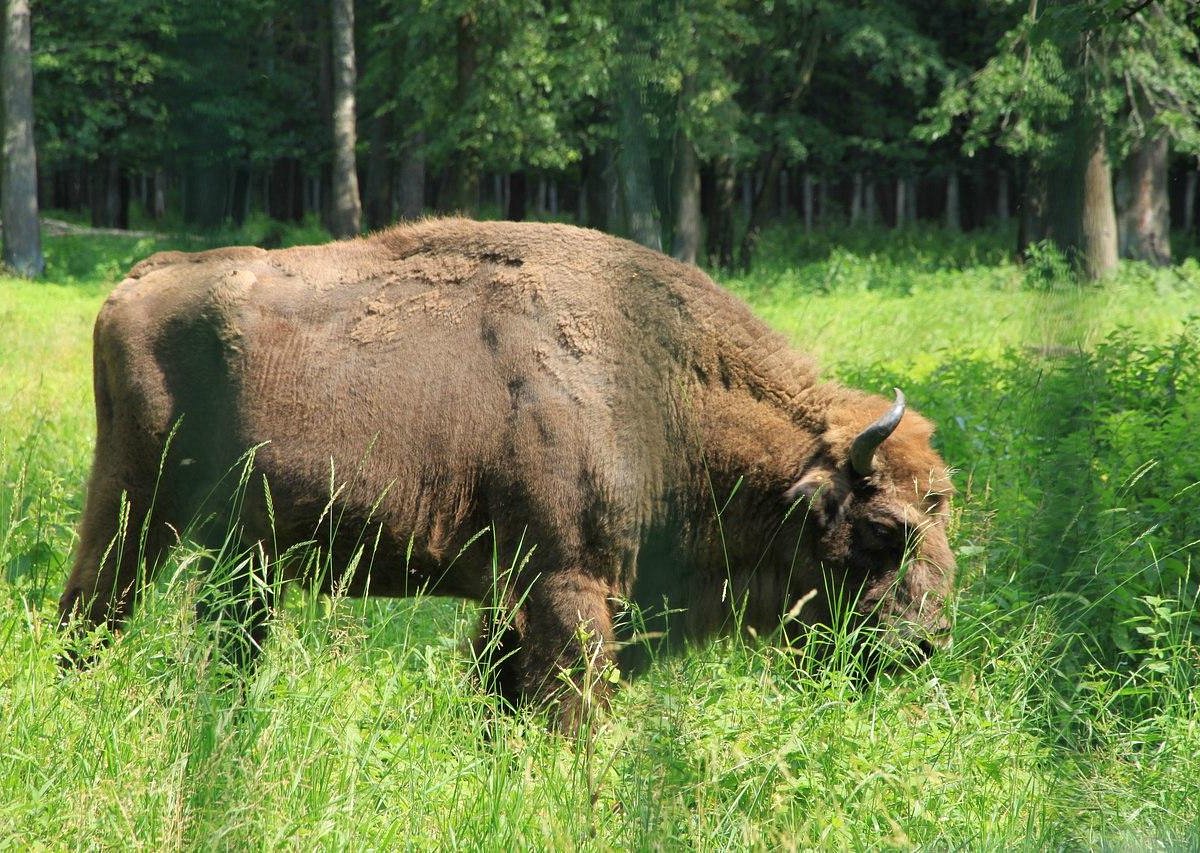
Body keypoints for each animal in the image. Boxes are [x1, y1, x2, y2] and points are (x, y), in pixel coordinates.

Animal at [58, 218, 955, 734]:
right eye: (884, 529)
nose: (924, 644)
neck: (658, 388)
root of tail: (139, 278)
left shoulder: (512, 599)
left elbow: (503, 696)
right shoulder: (566, 585)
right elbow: (568, 709)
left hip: (241, 553)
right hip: (131, 508)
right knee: (92, 609)